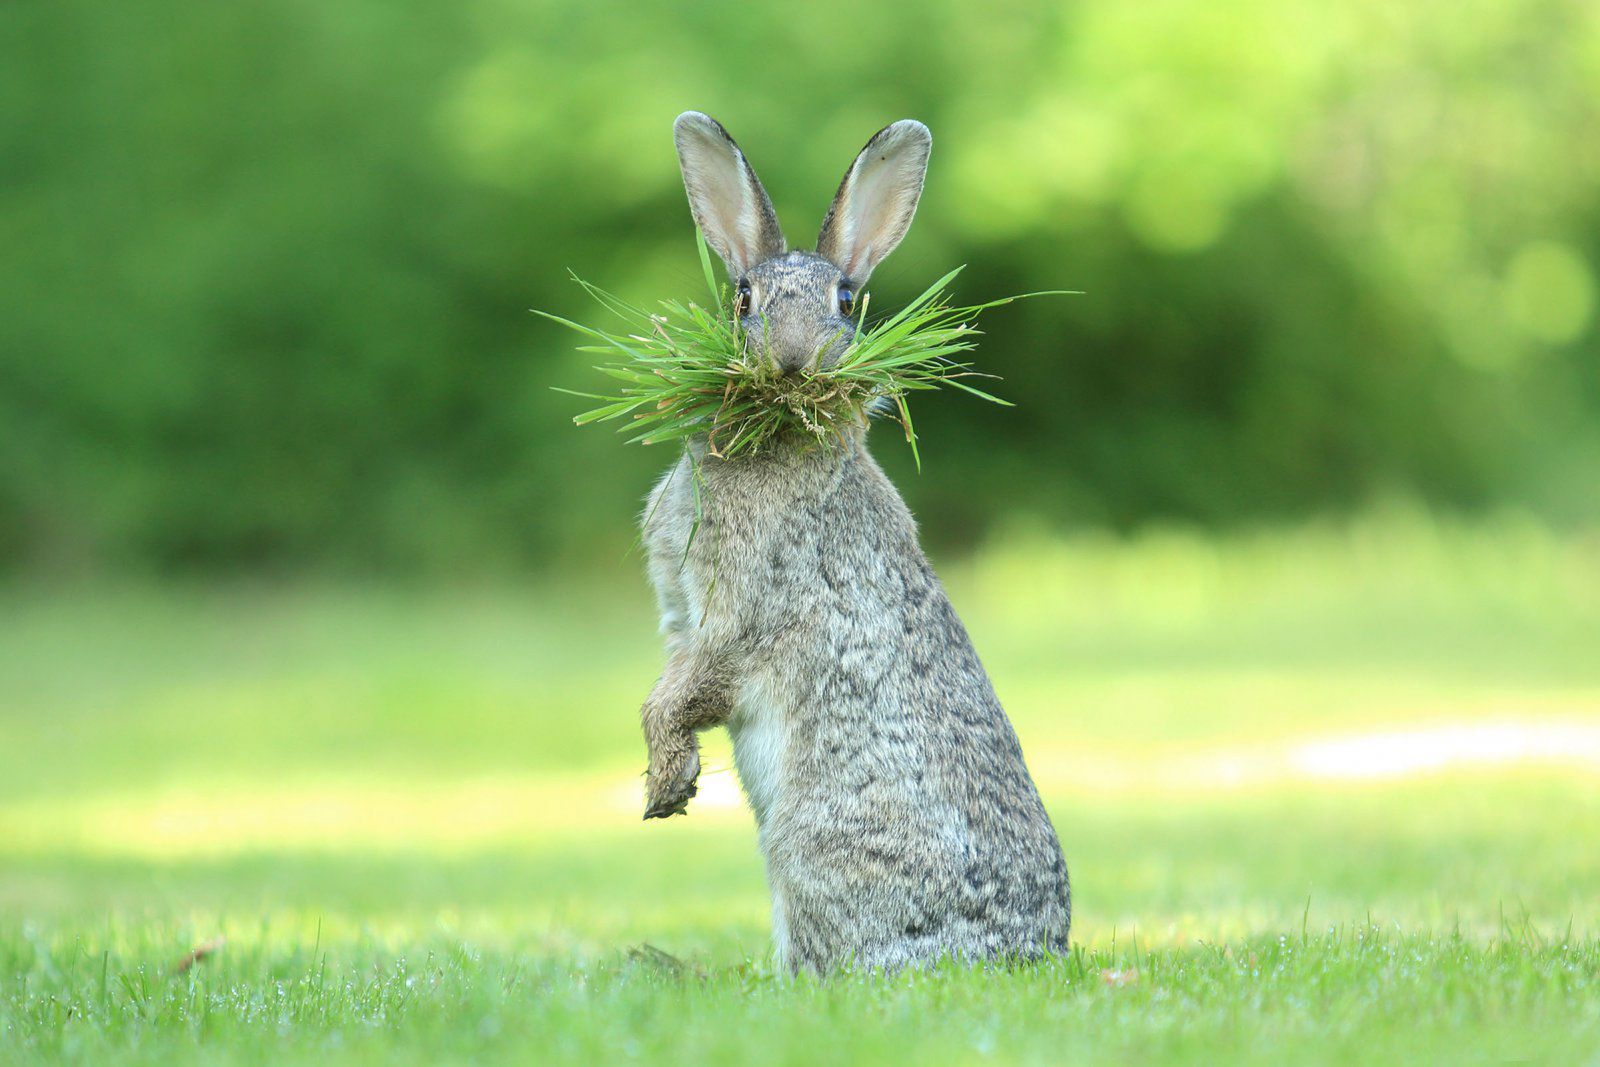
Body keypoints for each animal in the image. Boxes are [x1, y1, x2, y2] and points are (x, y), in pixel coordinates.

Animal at [640, 112, 1075, 972]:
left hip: (806, 844)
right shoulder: (682, 618)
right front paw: (668, 783)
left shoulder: (736, 616)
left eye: (846, 300)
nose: (792, 359)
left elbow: (689, 689)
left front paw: (666, 784)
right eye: (744, 297)